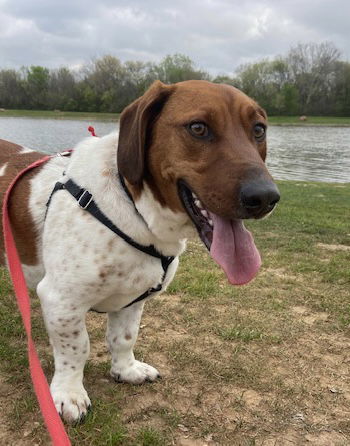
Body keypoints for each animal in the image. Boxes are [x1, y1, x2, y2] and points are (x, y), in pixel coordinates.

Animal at [0, 78, 278, 424]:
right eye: (198, 128)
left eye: (258, 129)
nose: (266, 197)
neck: (134, 210)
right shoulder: (61, 301)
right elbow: (76, 349)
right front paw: (69, 393)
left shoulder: (134, 298)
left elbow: (124, 337)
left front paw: (125, 370)